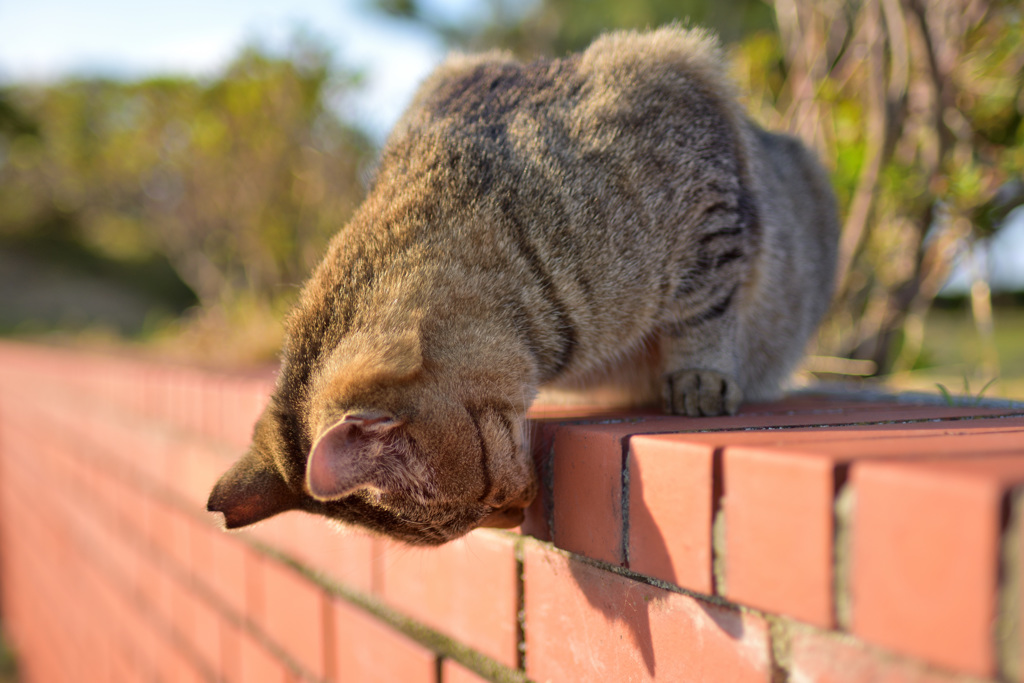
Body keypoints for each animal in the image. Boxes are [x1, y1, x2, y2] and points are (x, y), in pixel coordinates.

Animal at [205, 26, 839, 548]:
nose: (516, 516)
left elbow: (704, 313)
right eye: (469, 521)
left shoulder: (707, 188)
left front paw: (701, 378)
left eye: (486, 493)